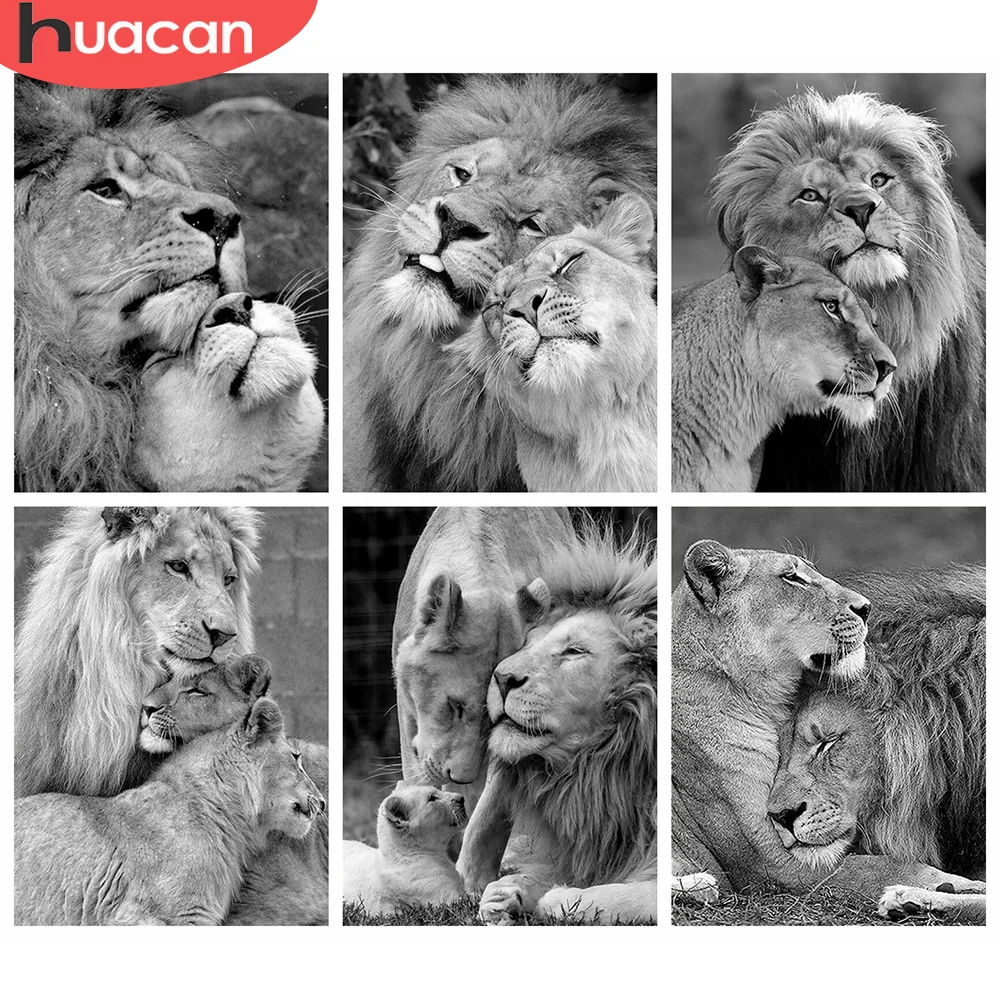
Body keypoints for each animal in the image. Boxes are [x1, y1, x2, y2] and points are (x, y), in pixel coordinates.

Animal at [456, 528, 657, 925]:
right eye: (528, 643)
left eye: (574, 651)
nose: (501, 678)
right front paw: (506, 895)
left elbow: (611, 897)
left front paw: (553, 896)